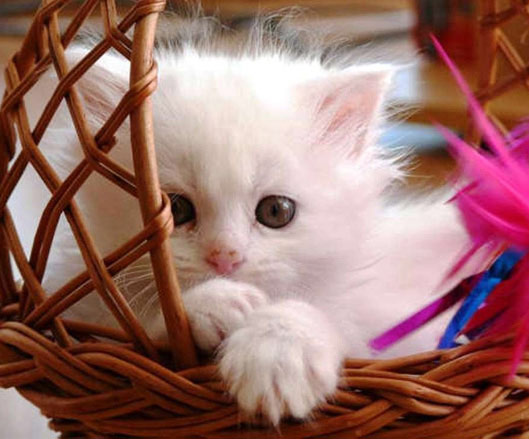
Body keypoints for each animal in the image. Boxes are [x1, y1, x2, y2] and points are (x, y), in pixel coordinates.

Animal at [10, 15, 480, 425]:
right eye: (176, 209)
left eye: (276, 212)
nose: (226, 257)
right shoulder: (84, 319)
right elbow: (136, 328)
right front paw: (216, 304)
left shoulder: (391, 323)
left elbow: (322, 313)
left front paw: (277, 356)